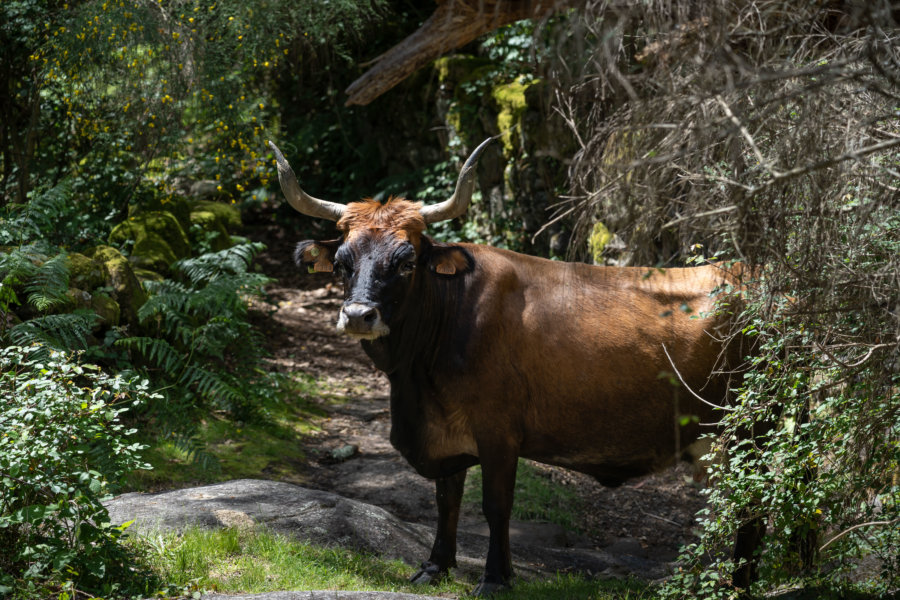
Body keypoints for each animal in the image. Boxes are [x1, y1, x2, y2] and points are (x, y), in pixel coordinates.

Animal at [268, 138, 760, 592]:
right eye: (342, 262)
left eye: (406, 262)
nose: (358, 316)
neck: (416, 375)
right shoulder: (447, 432)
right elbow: (447, 499)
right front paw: (435, 566)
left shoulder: (499, 431)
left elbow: (495, 505)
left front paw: (495, 578)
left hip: (749, 427)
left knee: (750, 501)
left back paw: (739, 582)